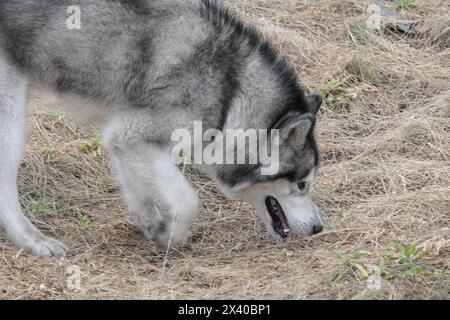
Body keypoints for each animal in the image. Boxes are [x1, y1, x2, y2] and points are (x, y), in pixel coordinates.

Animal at [0, 0, 324, 256]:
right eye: (302, 184)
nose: (319, 228)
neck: (230, 92)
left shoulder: (121, 139)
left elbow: (138, 192)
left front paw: (151, 225)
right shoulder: (132, 135)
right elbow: (187, 199)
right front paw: (170, 235)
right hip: (11, 122)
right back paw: (34, 242)